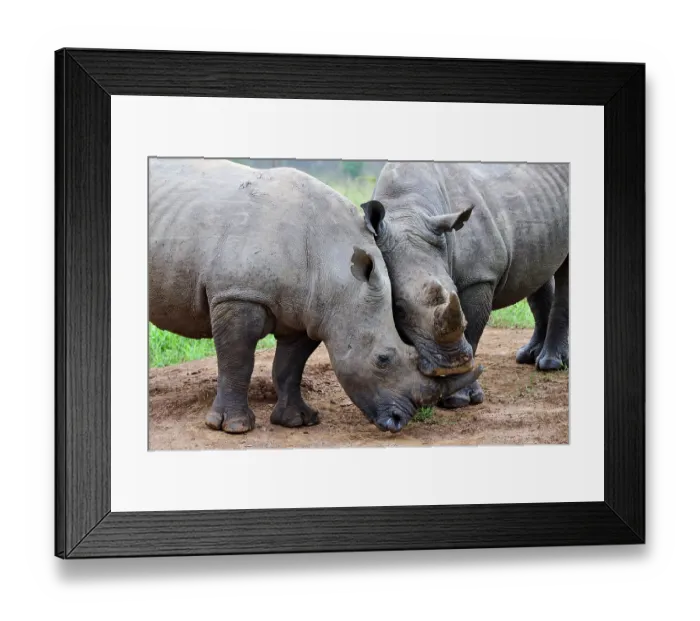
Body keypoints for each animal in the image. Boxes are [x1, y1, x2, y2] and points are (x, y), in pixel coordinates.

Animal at [148, 158, 483, 433]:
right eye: (383, 359)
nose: (399, 421)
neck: (333, 267)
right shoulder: (238, 294)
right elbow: (237, 361)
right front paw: (235, 428)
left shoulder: (311, 311)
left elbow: (289, 367)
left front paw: (298, 421)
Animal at [362, 162, 569, 408]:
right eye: (399, 309)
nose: (451, 363)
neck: (406, 208)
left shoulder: (478, 277)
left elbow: (471, 332)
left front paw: (459, 399)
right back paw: (529, 356)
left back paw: (551, 364)